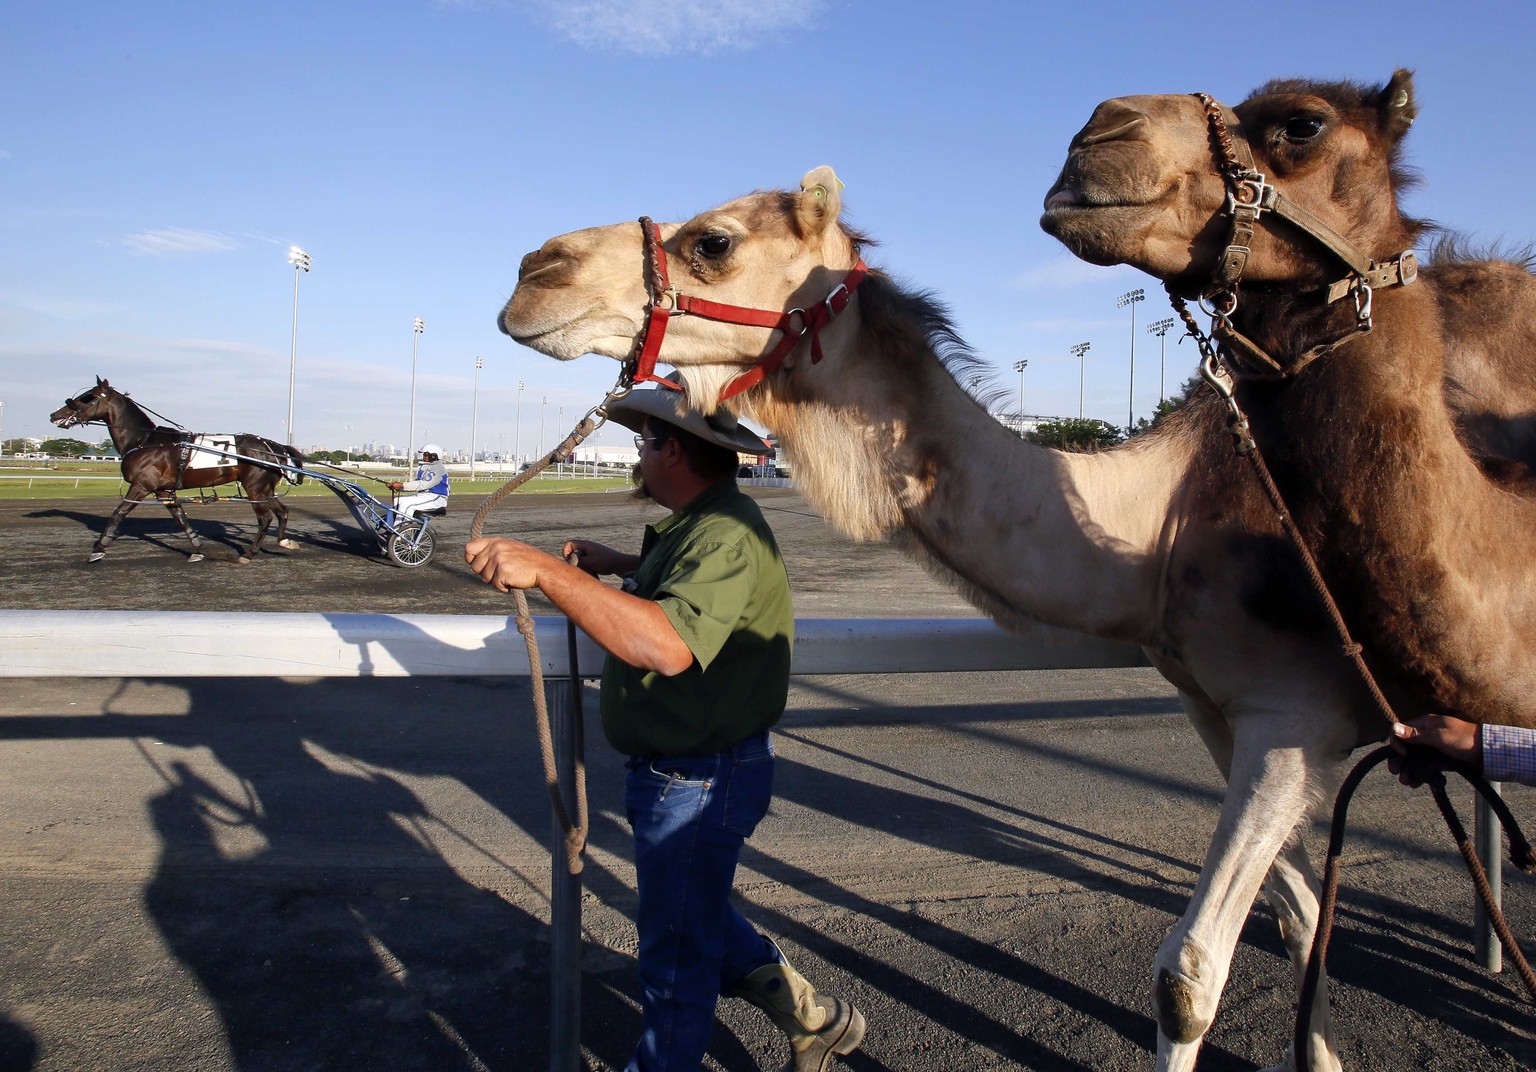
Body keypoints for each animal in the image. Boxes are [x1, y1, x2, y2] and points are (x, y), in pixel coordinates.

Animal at [48, 376, 305, 565]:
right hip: (264, 488)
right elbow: (180, 517)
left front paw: (98, 549)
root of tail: (274, 446)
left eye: (87, 398)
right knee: (282, 512)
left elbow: (118, 513)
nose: (54, 415)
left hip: (254, 487)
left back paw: (249, 553)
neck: (145, 440)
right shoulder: (163, 491)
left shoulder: (141, 485)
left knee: (265, 518)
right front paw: (197, 550)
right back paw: (284, 542)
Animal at [491, 139, 1523, 1062]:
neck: (1166, 517)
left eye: (714, 241)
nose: (533, 272)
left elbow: (1190, 974)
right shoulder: (1223, 710)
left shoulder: (1291, 711)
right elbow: (1306, 918)